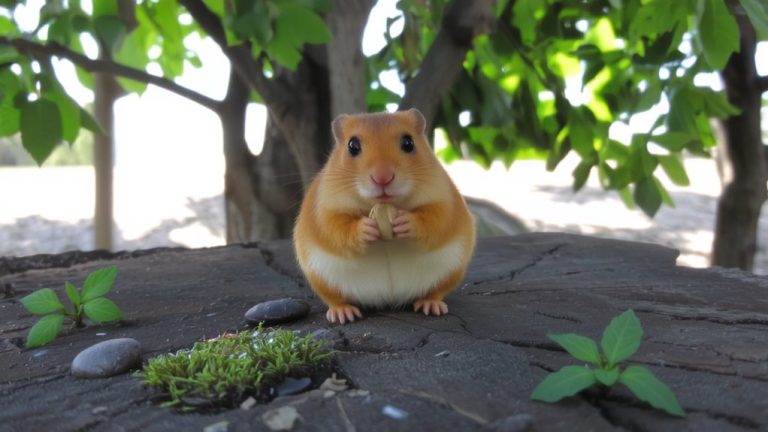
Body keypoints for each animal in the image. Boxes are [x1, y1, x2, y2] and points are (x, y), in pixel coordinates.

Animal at [293, 109, 476, 324]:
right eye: (352, 146)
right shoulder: (324, 211)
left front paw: (405, 221)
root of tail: (389, 300)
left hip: (451, 272)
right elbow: (337, 227)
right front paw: (366, 229)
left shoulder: (445, 202)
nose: (383, 177)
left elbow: (433, 220)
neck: (382, 204)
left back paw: (432, 305)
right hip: (322, 280)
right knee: (335, 299)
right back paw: (343, 313)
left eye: (408, 143)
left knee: (435, 292)